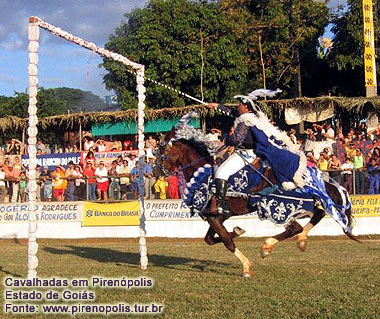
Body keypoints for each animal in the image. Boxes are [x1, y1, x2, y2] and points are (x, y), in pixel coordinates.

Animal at [157, 127, 356, 278]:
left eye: (162, 150)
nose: (158, 171)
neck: (201, 174)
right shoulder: (217, 217)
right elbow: (212, 239)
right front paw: (238, 231)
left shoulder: (213, 217)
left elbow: (226, 241)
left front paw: (246, 267)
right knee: (317, 214)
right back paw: (295, 242)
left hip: (279, 207)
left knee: (298, 226)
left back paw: (269, 246)